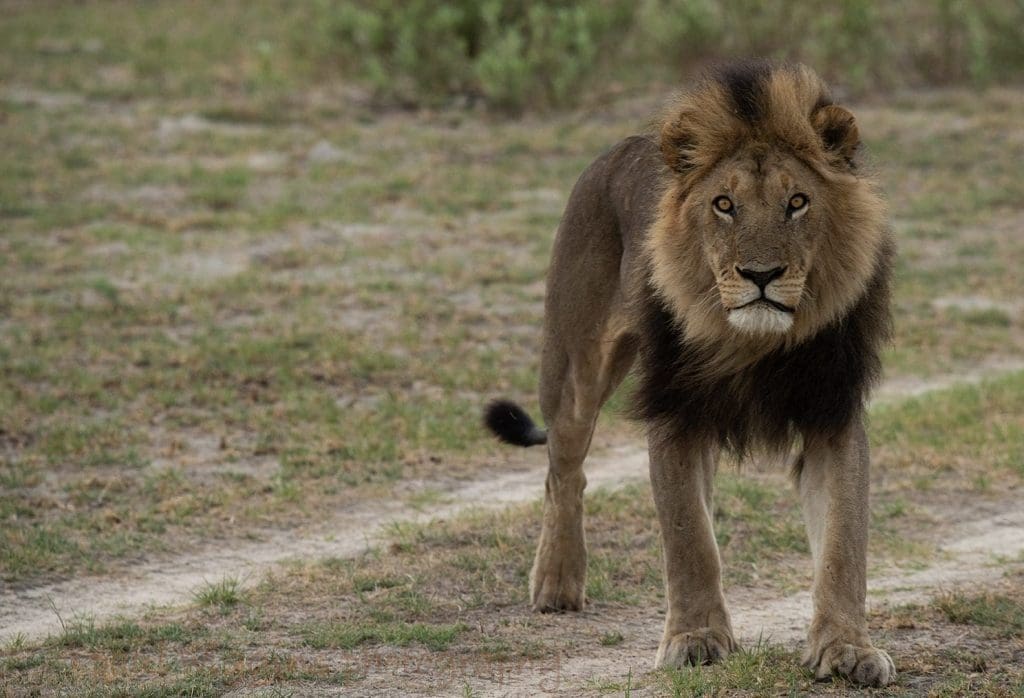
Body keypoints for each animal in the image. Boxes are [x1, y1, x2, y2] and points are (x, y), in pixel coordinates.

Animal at [487, 61, 897, 683]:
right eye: (724, 205)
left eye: (798, 202)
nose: (760, 275)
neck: (750, 340)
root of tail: (619, 148)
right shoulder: (674, 411)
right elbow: (689, 539)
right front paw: (696, 639)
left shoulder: (833, 410)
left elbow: (844, 544)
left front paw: (846, 648)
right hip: (575, 366)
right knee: (565, 469)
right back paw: (557, 582)